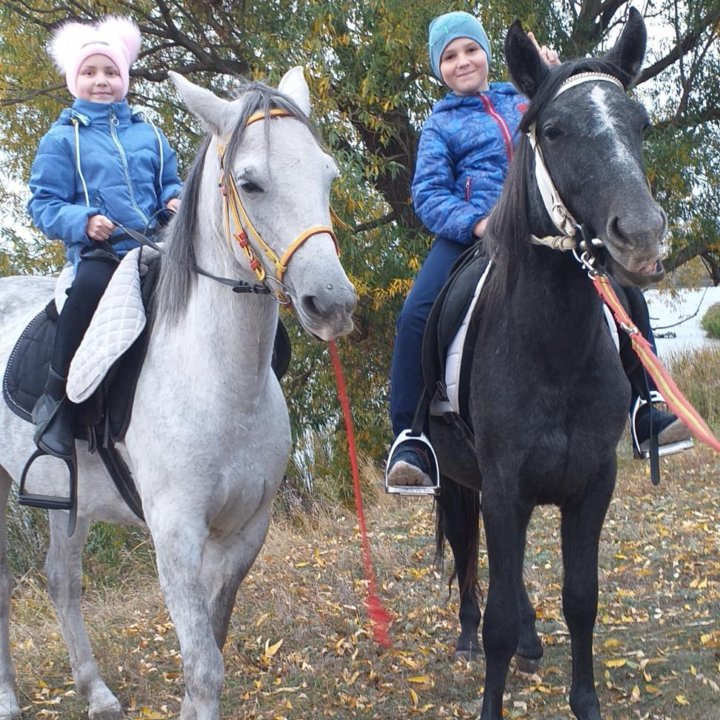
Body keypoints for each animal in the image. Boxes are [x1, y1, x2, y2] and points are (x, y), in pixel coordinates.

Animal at [0, 67, 358, 720]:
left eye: (326, 174)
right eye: (251, 182)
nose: (332, 303)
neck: (218, 383)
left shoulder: (244, 531)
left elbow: (212, 642)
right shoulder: (175, 536)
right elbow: (202, 663)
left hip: (65, 499)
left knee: (62, 580)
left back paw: (96, 693)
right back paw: (10, 698)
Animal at [430, 9, 668, 720]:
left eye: (641, 123)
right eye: (556, 130)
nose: (641, 237)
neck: (552, 353)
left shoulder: (590, 483)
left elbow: (581, 599)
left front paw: (584, 700)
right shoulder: (502, 485)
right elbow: (500, 618)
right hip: (462, 483)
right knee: (470, 555)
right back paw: (466, 636)